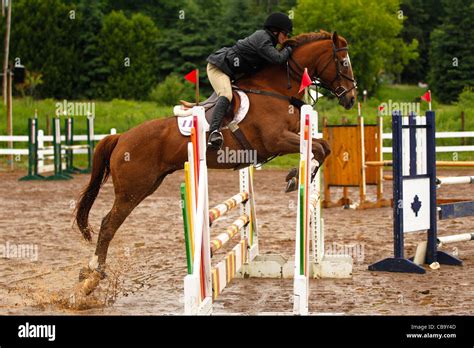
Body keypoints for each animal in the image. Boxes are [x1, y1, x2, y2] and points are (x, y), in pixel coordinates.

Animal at [74, 30, 356, 294]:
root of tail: (121, 137)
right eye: (343, 62)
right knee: (108, 224)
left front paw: (297, 176)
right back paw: (94, 273)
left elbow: (324, 147)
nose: (351, 98)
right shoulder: (276, 140)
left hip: (148, 185)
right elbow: (317, 148)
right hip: (132, 191)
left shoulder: (292, 135)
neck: (275, 91)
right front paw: (295, 178)